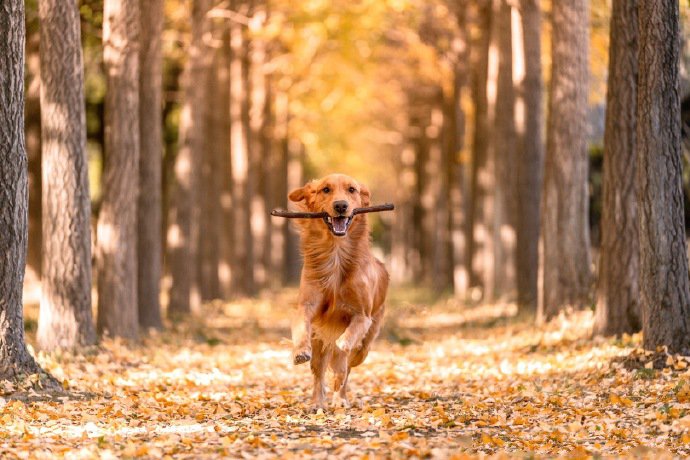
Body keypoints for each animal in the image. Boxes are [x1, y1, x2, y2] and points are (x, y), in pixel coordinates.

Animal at [286, 174, 388, 408]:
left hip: (364, 349)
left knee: (345, 370)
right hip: (319, 343)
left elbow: (349, 337)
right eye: (325, 189)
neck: (336, 252)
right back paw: (317, 402)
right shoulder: (306, 307)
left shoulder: (362, 315)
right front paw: (300, 351)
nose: (341, 206)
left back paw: (340, 399)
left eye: (352, 190)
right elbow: (301, 328)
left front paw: (342, 342)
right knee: (320, 372)